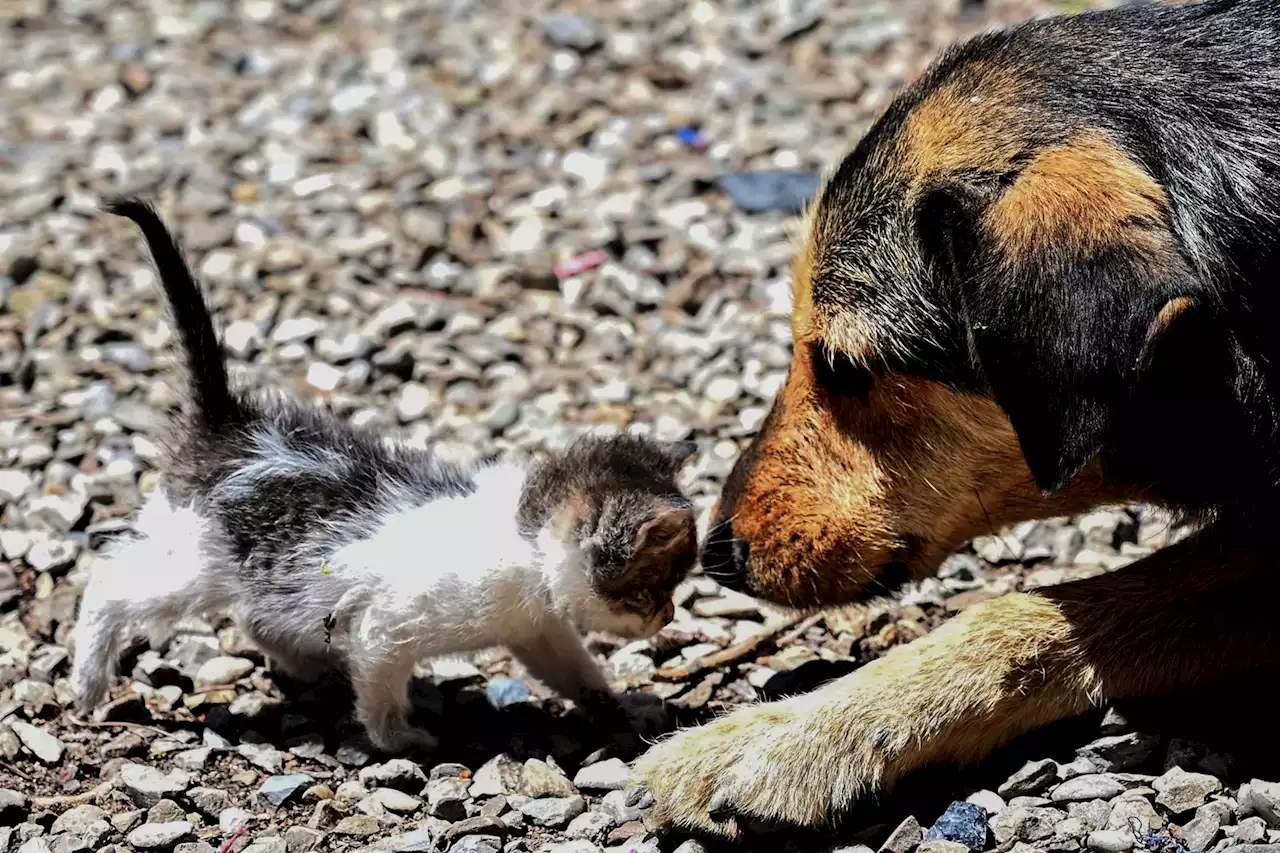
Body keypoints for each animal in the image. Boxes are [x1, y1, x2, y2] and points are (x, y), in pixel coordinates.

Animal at [70, 199, 701, 753]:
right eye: (652, 588)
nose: (669, 616)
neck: (521, 544)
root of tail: (228, 425)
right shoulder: (385, 628)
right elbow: (377, 690)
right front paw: (399, 740)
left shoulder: (536, 629)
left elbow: (578, 671)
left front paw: (620, 715)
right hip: (197, 560)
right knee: (110, 583)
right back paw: (87, 682)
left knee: (254, 615)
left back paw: (309, 663)